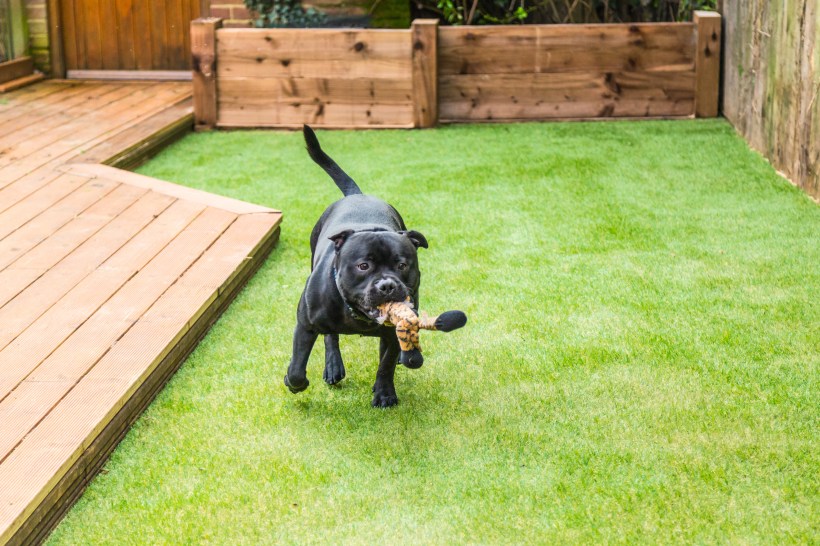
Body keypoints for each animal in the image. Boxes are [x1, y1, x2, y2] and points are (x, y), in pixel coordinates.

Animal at [286, 123, 430, 404]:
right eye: (363, 266)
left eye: (402, 265)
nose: (387, 286)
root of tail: (357, 194)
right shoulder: (305, 324)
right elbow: (298, 365)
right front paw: (294, 382)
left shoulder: (391, 332)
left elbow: (385, 363)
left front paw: (384, 393)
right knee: (330, 337)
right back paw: (333, 366)